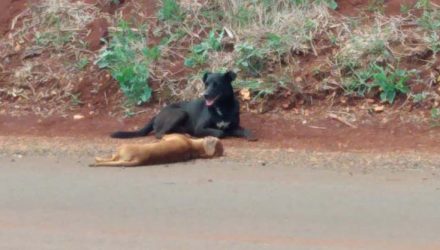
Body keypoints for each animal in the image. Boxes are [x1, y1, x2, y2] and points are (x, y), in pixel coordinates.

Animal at [109, 70, 258, 141]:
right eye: (206, 84)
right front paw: (223, 133)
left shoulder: (234, 125)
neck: (222, 107)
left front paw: (250, 135)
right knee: (159, 133)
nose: (205, 95)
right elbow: (220, 132)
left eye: (217, 84)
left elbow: (244, 129)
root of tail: (157, 115)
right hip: (180, 113)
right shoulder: (200, 128)